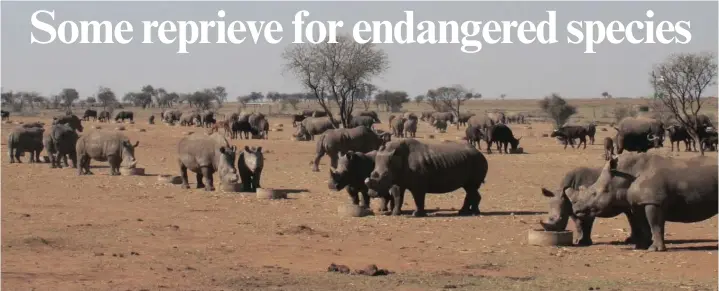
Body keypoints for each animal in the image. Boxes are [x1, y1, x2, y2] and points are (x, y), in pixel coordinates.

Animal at [568, 154, 719, 252]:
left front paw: (655, 249)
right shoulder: (638, 203)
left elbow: (655, 225)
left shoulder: (653, 201)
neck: (623, 177)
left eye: (594, 193)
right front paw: (641, 247)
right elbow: (643, 224)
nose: (576, 210)